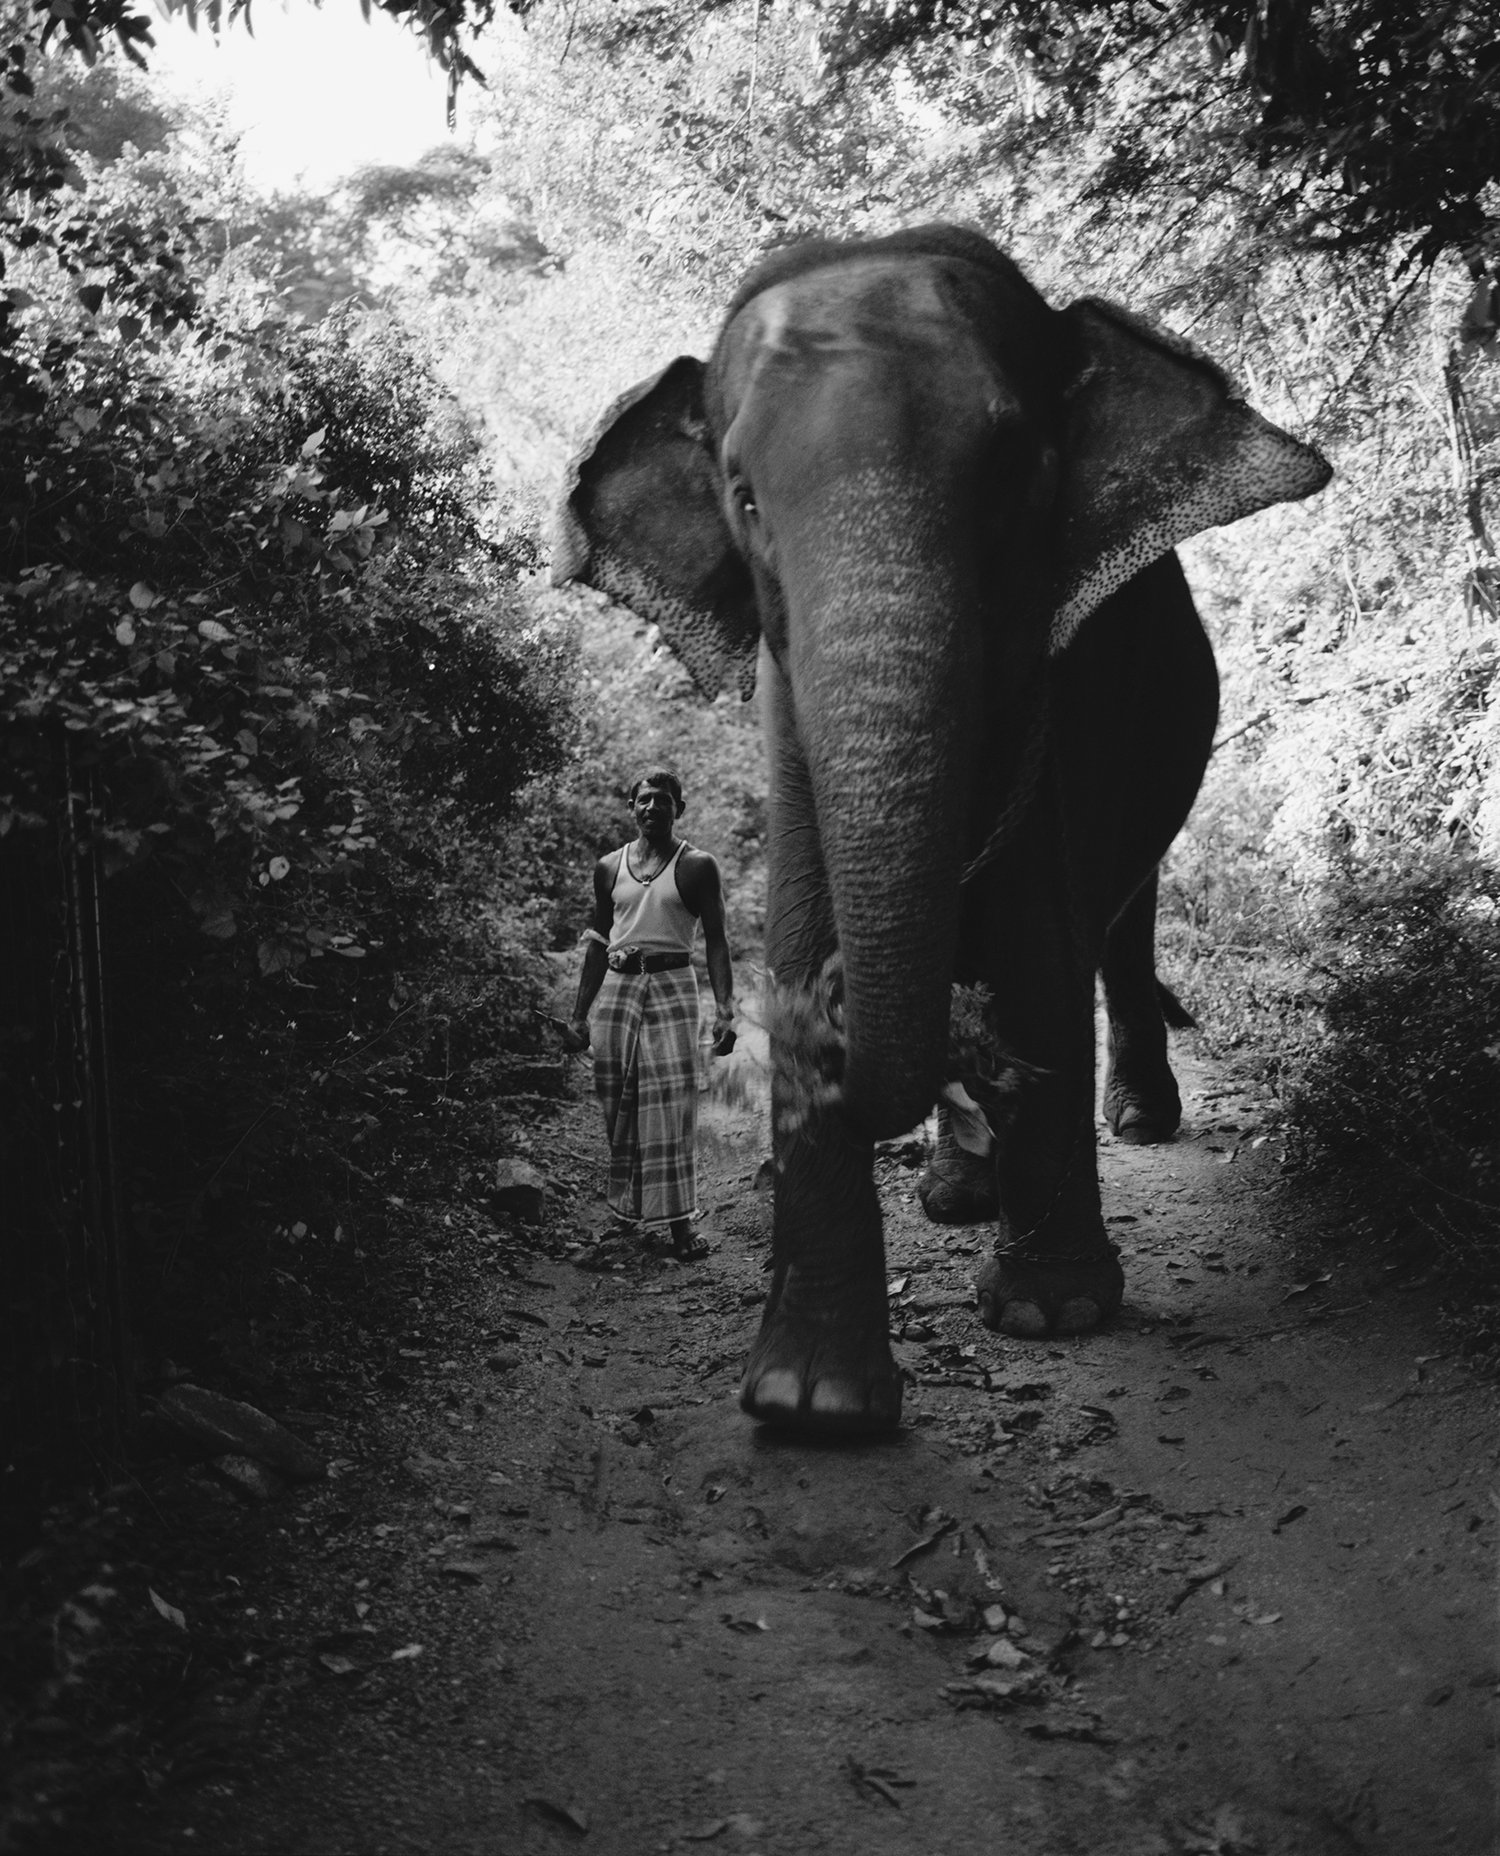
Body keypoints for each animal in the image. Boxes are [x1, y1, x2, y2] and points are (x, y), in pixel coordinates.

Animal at [556, 217, 1329, 1432]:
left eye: (1015, 472)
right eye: (744, 496)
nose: (825, 1017)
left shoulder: (1064, 690)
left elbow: (1040, 949)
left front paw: (1052, 1314)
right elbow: (803, 918)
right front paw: (810, 1402)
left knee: (1118, 924)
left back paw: (1131, 1123)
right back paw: (955, 1195)